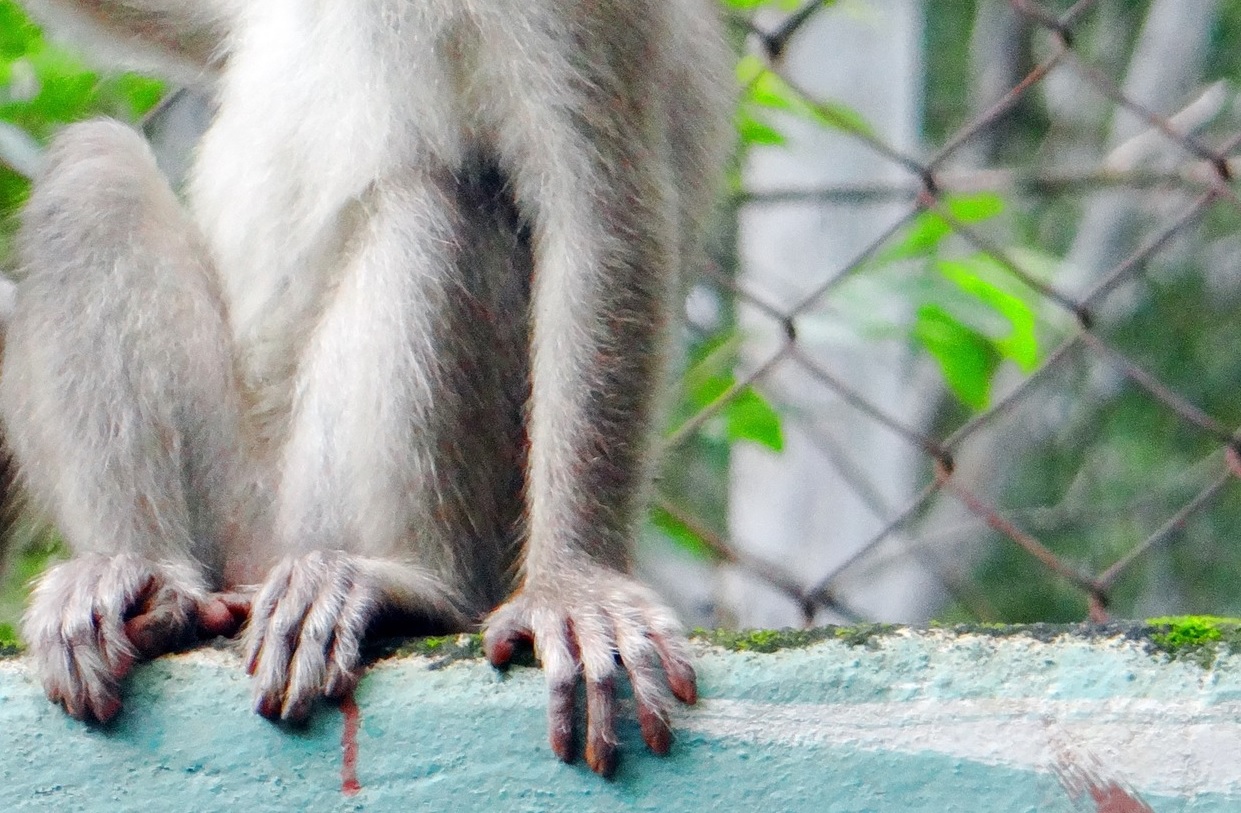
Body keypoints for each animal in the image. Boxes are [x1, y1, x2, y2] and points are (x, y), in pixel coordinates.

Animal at [2, 0, 733, 776]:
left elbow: (598, 214)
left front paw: (575, 587)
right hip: (237, 513)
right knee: (93, 176)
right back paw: (142, 584)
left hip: (331, 513)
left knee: (436, 206)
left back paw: (415, 589)